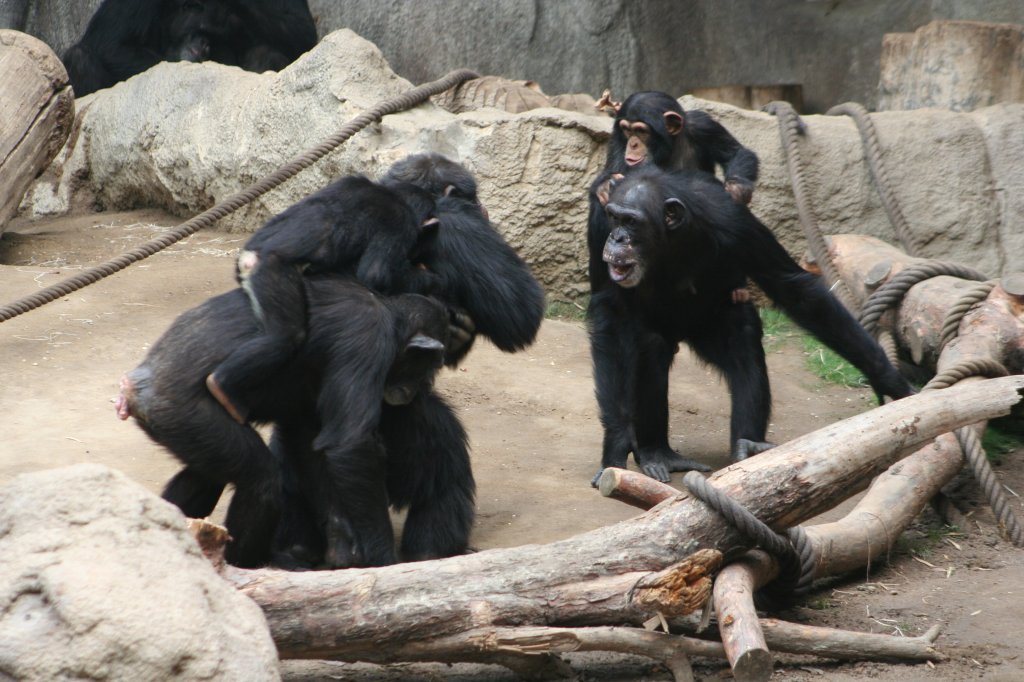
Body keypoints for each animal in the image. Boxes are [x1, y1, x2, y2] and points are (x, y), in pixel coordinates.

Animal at [61, 0, 315, 96]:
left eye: (218, 35)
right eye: (201, 26)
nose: (203, 44)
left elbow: (301, 30)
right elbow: (111, 44)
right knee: (79, 57)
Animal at [204, 173, 440, 421]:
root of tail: (248, 259)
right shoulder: (400, 225)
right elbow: (376, 274)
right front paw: (426, 276)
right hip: (272, 275)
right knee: (286, 336)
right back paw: (223, 387)